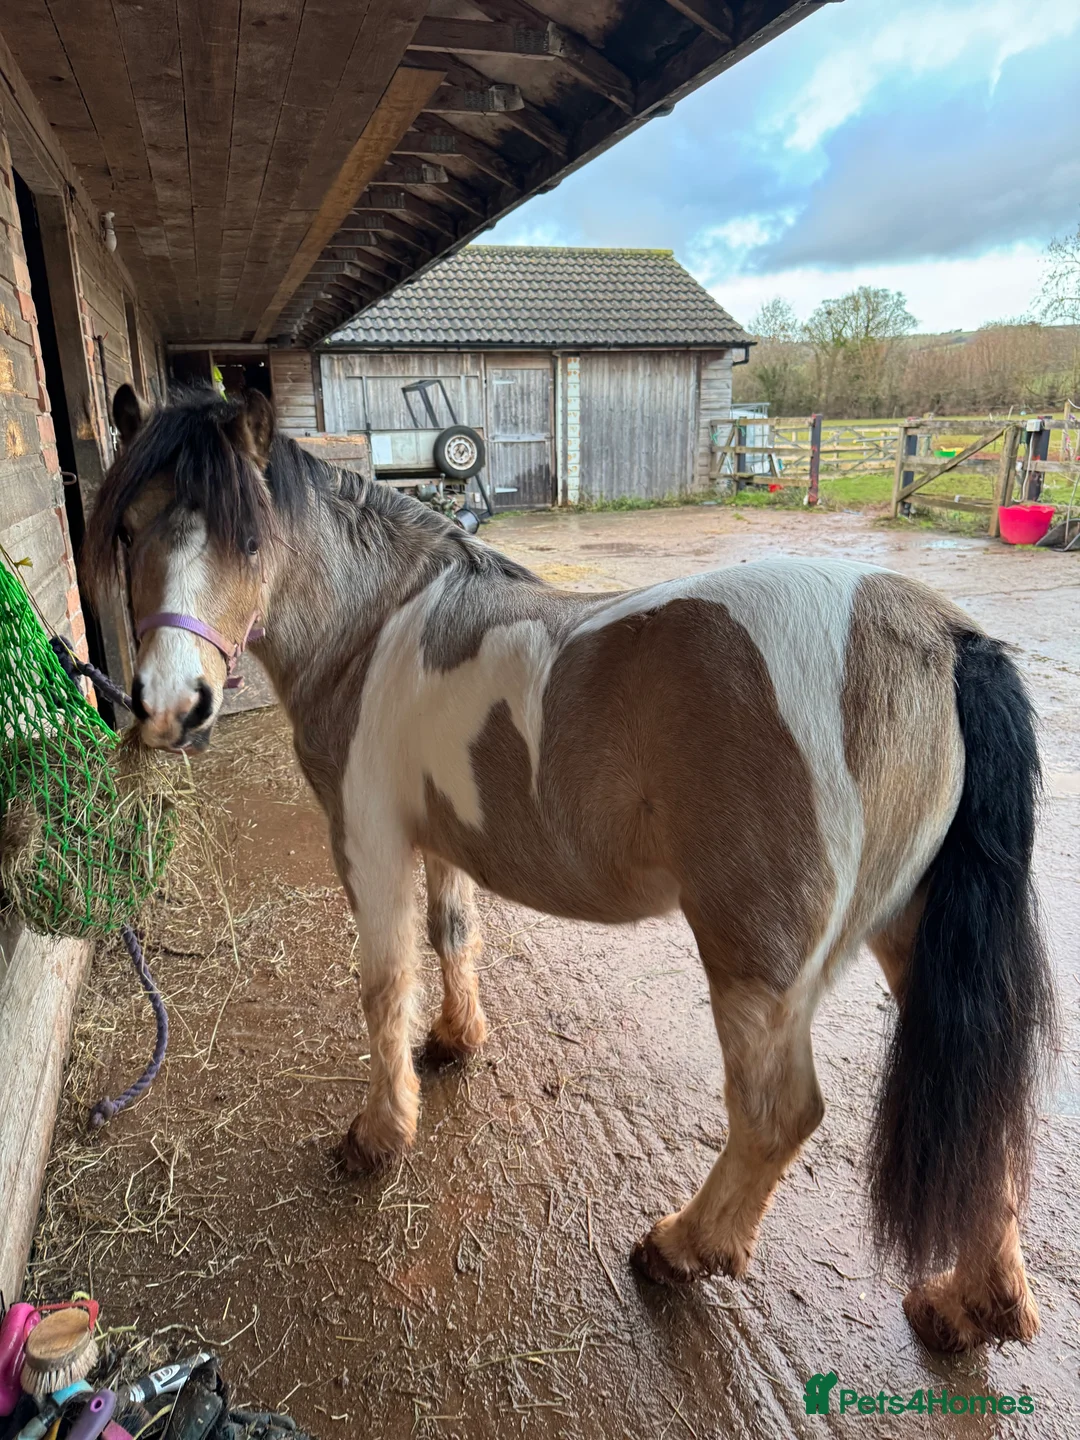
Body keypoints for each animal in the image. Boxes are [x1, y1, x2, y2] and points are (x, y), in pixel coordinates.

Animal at [84, 384, 1056, 1354]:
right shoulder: (438, 839)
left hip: (758, 964)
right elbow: (451, 934)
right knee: (981, 1118)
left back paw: (681, 1248)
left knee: (779, 1114)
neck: (378, 626)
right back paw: (971, 1305)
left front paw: (379, 1133)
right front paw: (455, 1042)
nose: (170, 708)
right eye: (126, 529)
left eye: (248, 540)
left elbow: (383, 982)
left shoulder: (368, 837)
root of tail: (946, 639)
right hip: (912, 933)